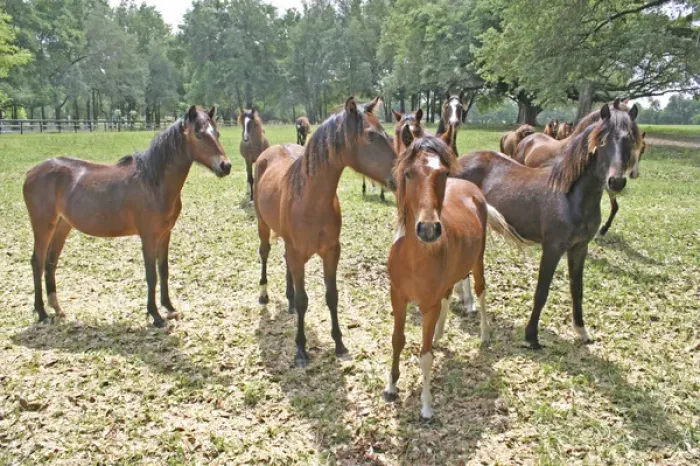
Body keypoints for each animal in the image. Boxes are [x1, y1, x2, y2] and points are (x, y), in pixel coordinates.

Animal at [23, 106, 231, 327]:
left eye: (217, 133)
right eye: (199, 134)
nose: (225, 166)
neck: (153, 182)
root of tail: (31, 172)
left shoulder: (165, 234)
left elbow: (163, 270)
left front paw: (170, 308)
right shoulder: (148, 237)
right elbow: (151, 275)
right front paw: (155, 315)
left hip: (62, 226)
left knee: (50, 263)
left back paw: (57, 309)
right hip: (43, 226)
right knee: (37, 262)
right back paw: (42, 312)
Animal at [254, 97, 397, 368]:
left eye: (387, 134)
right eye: (370, 135)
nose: (401, 175)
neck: (311, 201)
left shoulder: (331, 251)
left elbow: (332, 296)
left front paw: (339, 343)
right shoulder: (298, 252)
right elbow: (304, 300)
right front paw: (301, 349)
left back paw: (287, 299)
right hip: (262, 225)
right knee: (265, 253)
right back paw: (264, 295)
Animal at [383, 129, 521, 420]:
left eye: (444, 173)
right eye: (408, 173)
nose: (428, 229)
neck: (414, 257)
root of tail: (472, 189)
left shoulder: (428, 304)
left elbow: (425, 356)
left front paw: (426, 407)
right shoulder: (398, 296)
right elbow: (397, 340)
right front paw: (391, 386)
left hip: (477, 261)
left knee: (480, 291)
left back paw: (484, 334)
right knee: (447, 296)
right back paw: (439, 333)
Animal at [453, 101, 643, 349]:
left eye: (630, 139)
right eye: (602, 140)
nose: (616, 182)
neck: (570, 197)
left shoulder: (579, 248)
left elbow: (577, 289)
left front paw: (581, 330)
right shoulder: (552, 248)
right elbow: (542, 291)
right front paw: (531, 336)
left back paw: (466, 301)